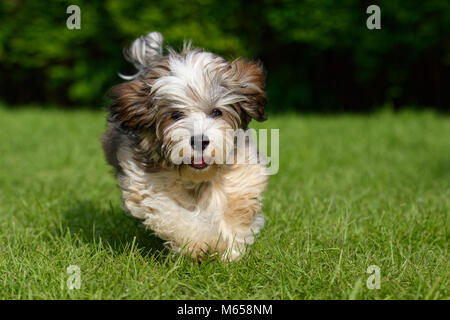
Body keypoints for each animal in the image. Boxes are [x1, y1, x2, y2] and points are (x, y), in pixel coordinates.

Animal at [103, 31, 268, 262]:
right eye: (175, 115)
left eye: (216, 112)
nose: (199, 141)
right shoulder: (146, 184)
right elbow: (173, 214)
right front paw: (199, 243)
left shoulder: (242, 174)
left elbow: (234, 207)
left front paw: (229, 250)